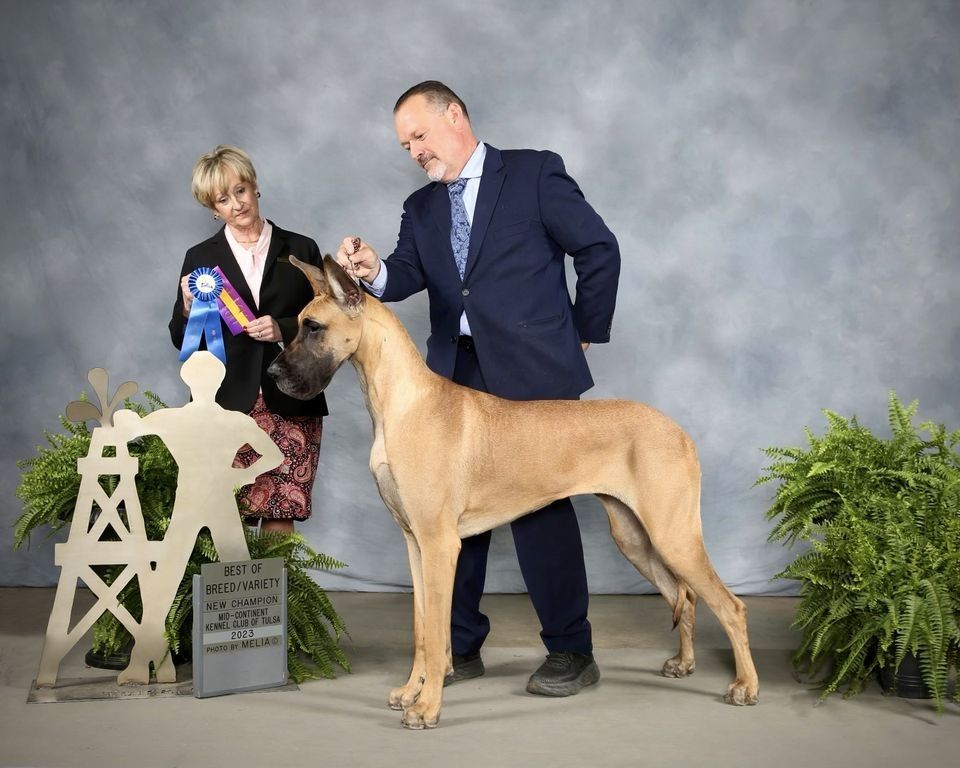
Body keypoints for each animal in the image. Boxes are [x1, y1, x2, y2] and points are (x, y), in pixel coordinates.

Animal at [268, 255, 759, 729]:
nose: (272, 372)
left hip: (674, 536)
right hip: (635, 537)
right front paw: (411, 691)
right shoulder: (414, 543)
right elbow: (421, 628)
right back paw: (684, 663)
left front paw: (427, 707)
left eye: (314, 328)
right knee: (685, 596)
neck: (400, 403)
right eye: (299, 323)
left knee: (729, 606)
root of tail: (679, 431)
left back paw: (744, 686)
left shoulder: (439, 544)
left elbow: (436, 634)